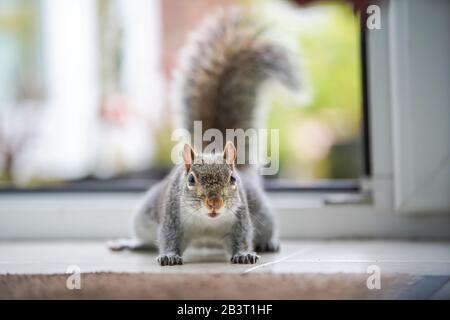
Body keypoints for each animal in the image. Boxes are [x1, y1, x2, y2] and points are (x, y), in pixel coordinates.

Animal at [108, 8, 298, 266]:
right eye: (190, 180)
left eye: (232, 179)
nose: (214, 203)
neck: (208, 223)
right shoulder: (171, 216)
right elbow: (167, 238)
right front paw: (168, 257)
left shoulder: (241, 217)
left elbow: (242, 236)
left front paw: (243, 254)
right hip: (144, 216)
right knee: (143, 236)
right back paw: (130, 243)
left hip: (261, 211)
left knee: (266, 227)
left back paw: (269, 242)